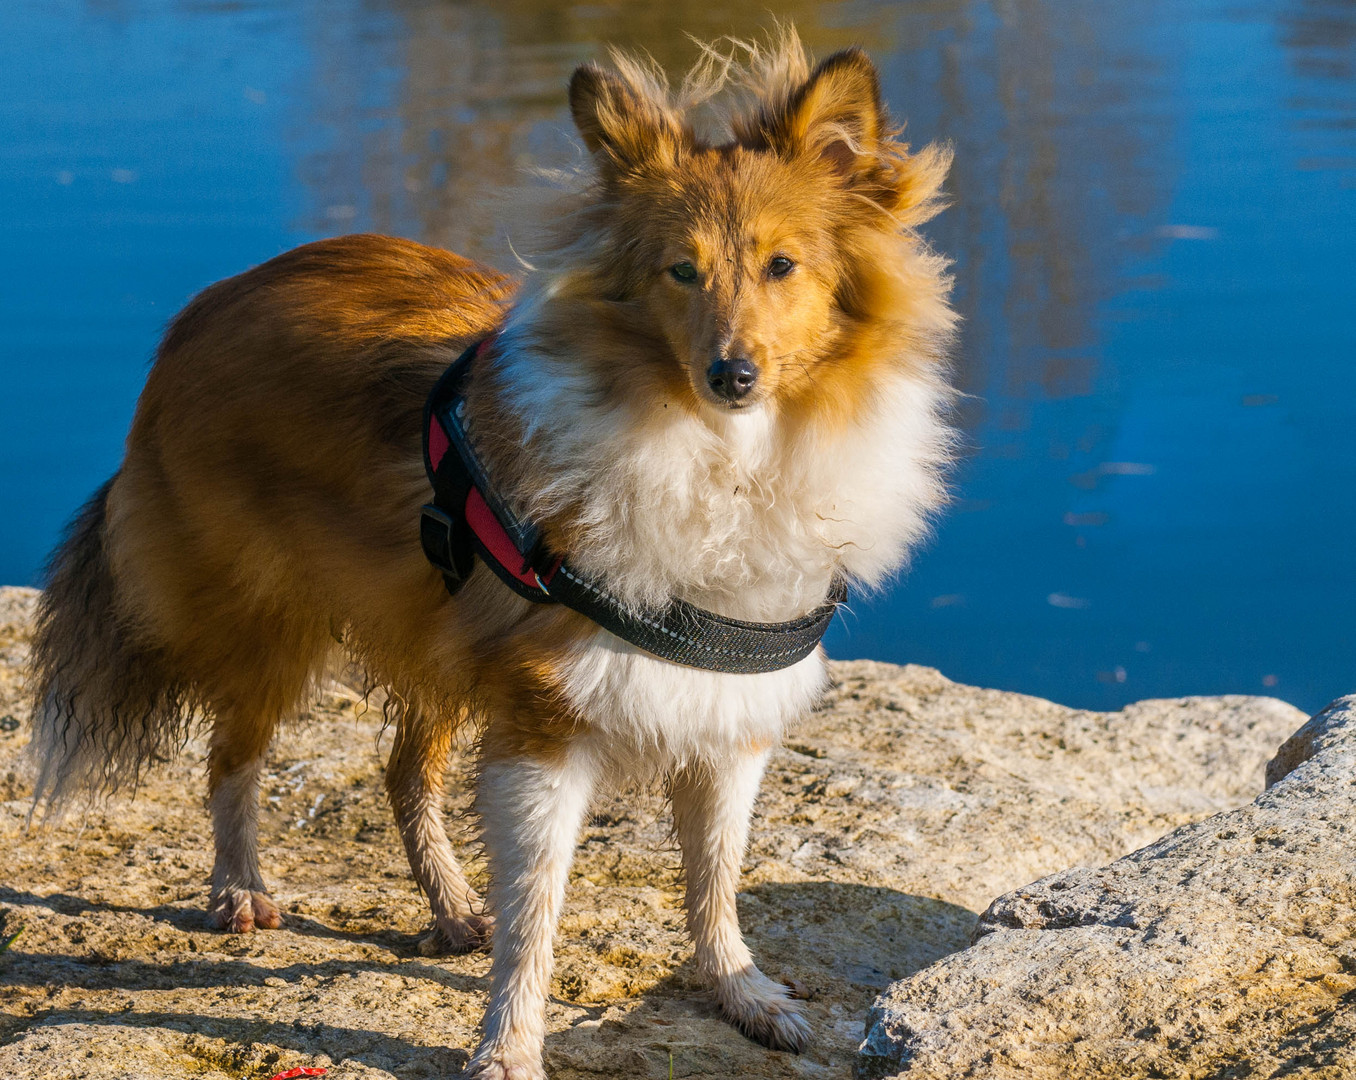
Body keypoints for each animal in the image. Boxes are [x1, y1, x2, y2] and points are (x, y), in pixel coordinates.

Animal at [21, 31, 954, 1080]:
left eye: (783, 265)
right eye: (680, 271)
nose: (733, 374)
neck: (719, 456)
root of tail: (208, 305)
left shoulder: (728, 718)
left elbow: (717, 876)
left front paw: (741, 992)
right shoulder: (546, 723)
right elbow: (537, 909)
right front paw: (508, 1045)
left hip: (433, 626)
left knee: (400, 774)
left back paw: (450, 906)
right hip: (271, 620)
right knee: (232, 756)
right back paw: (240, 890)